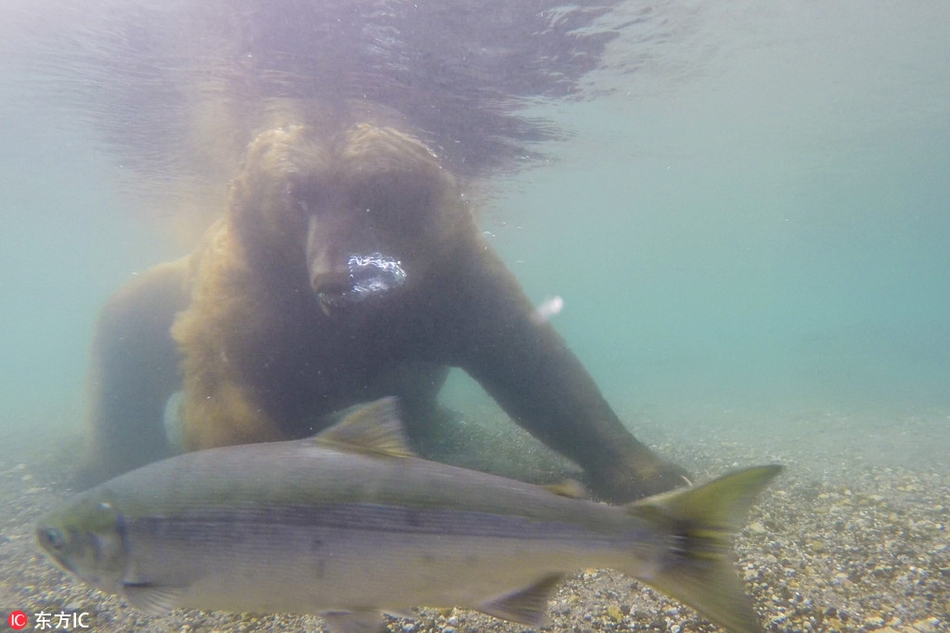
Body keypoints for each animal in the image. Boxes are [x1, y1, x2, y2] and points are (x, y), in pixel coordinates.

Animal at [80, 119, 692, 504]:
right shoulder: (249, 295)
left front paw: (657, 473)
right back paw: (113, 458)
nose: (334, 276)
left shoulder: (451, 287)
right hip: (141, 308)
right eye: (297, 194)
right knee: (121, 374)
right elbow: (227, 386)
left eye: (377, 192)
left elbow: (539, 370)